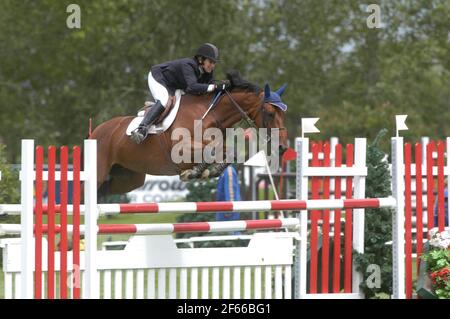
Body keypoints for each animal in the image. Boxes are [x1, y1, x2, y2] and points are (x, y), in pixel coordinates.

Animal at [91, 71, 288, 196]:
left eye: (283, 113)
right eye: (270, 113)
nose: (283, 147)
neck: (210, 114)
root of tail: (95, 131)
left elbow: (228, 151)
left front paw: (208, 171)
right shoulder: (181, 149)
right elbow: (212, 149)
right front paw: (196, 171)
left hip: (128, 178)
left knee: (104, 193)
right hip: (99, 173)